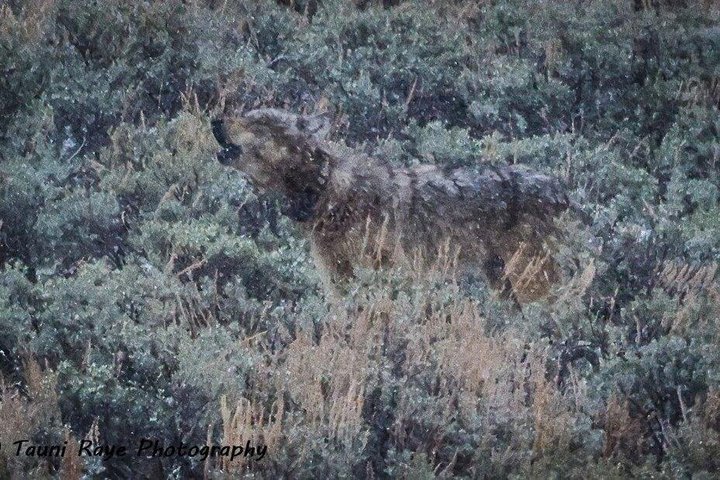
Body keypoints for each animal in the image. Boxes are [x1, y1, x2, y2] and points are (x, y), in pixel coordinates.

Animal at [211, 109, 570, 303]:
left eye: (258, 123)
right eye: (244, 114)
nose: (215, 121)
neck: (327, 189)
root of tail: (563, 191)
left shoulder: (384, 274)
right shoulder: (336, 279)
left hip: (532, 281)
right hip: (503, 284)